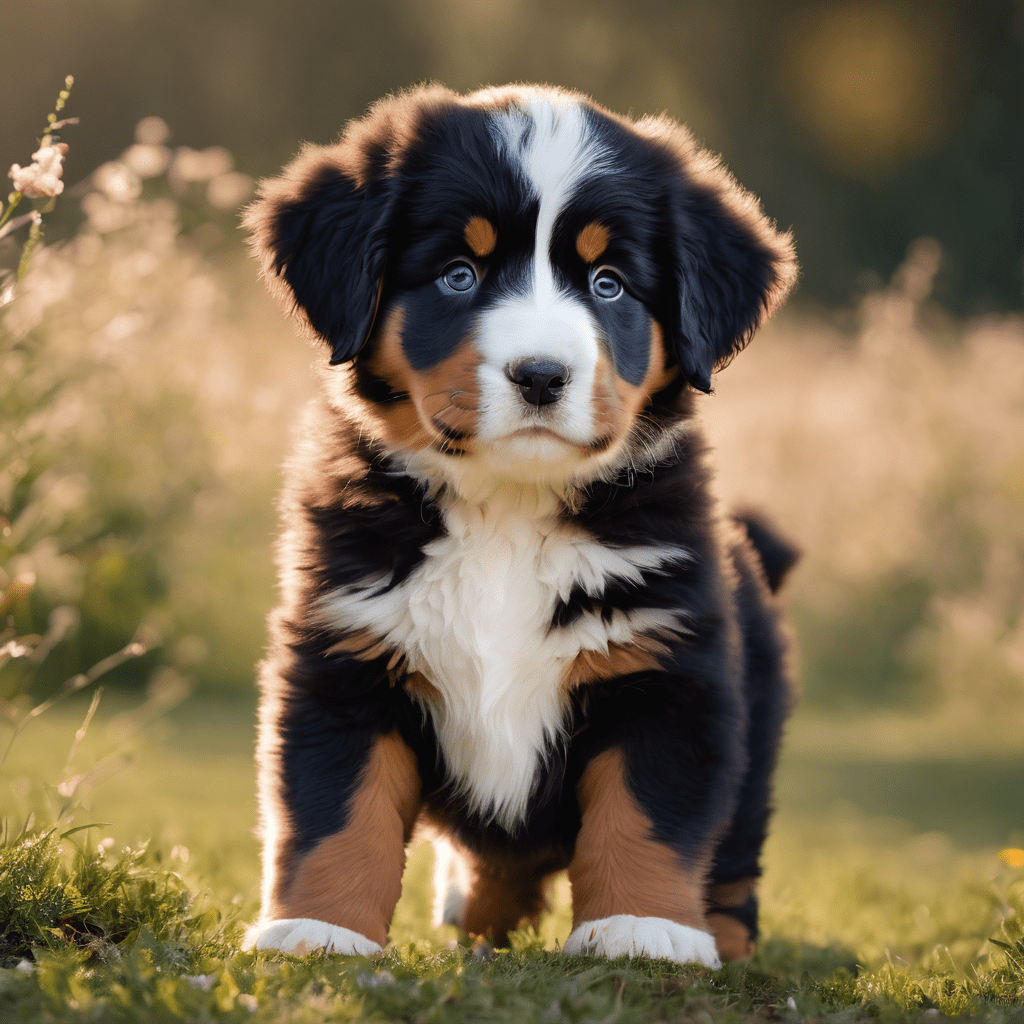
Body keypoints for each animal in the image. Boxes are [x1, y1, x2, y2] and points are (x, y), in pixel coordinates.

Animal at [241, 81, 798, 966]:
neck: (506, 510)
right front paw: (319, 932)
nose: (541, 374)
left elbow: (646, 817)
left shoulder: (669, 672)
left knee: (734, 866)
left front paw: (641, 929)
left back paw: (721, 941)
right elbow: (336, 814)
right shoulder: (344, 661)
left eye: (608, 285)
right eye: (458, 274)